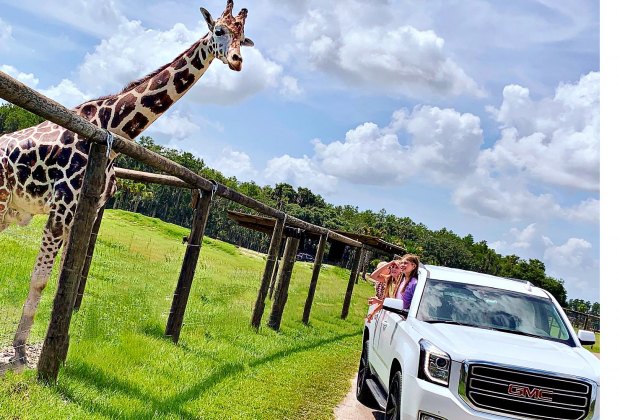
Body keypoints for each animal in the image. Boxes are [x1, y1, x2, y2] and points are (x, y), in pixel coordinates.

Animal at [0, 0, 254, 366]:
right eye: (219, 30)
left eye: (244, 37)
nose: (236, 60)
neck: (113, 125)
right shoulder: (62, 205)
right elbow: (41, 279)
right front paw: (19, 351)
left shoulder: (86, 207)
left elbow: (67, 278)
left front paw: (53, 346)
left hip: (9, 209)